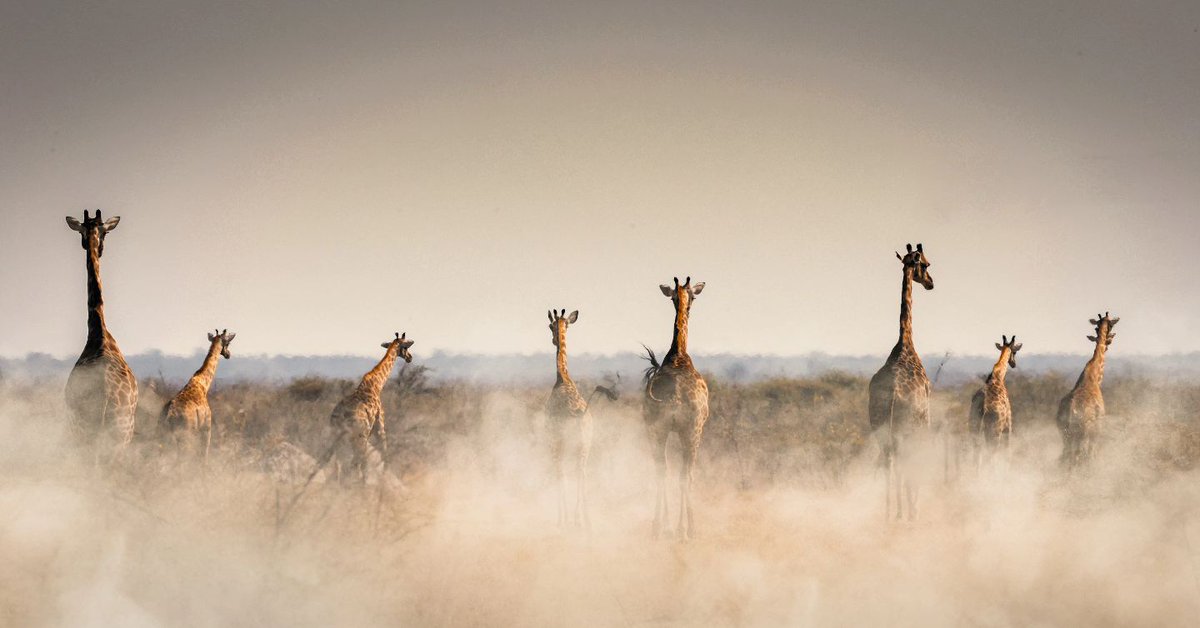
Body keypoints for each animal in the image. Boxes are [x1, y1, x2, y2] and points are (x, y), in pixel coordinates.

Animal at [160, 329, 236, 462]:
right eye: (227, 343)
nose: (228, 354)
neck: (203, 384)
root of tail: (170, 413)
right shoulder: (206, 428)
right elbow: (204, 455)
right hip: (186, 434)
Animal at [329, 332, 414, 483]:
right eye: (405, 346)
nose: (410, 357)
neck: (377, 384)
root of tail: (339, 417)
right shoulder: (379, 422)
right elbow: (384, 450)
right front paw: (384, 475)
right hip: (359, 434)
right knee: (357, 461)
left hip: (340, 436)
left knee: (340, 463)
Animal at [643, 276, 709, 540]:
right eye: (694, 296)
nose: (689, 306)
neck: (678, 355)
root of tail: (675, 399)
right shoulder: (695, 431)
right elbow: (687, 476)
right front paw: (688, 527)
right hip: (691, 432)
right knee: (683, 474)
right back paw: (684, 529)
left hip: (658, 430)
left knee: (662, 471)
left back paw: (659, 526)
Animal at [969, 335, 1022, 468]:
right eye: (1015, 352)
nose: (1014, 364)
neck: (998, 377)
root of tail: (983, 407)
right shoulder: (1008, 425)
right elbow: (1008, 450)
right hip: (995, 431)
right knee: (991, 454)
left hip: (974, 429)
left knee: (976, 453)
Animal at [1057, 312, 1119, 467]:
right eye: (1111, 325)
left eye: (1097, 328)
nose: (1108, 342)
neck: (1094, 377)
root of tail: (1070, 410)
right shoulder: (1097, 433)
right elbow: (1092, 457)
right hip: (1083, 434)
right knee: (1080, 458)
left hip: (1065, 435)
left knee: (1065, 458)